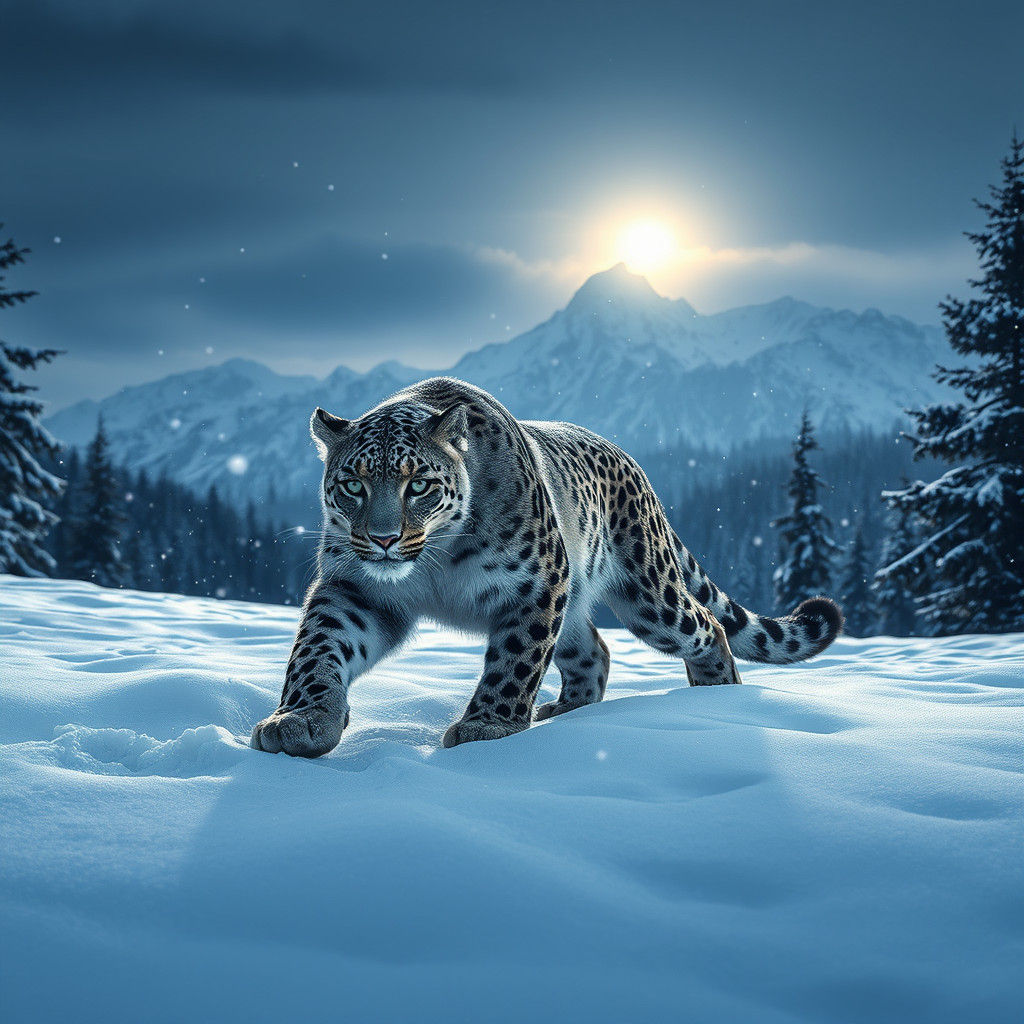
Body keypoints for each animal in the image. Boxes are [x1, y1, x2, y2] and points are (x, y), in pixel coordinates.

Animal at [251, 377, 843, 756]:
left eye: (417, 484)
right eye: (353, 484)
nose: (382, 539)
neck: (435, 562)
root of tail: (632, 461)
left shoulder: (533, 586)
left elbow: (514, 660)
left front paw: (487, 727)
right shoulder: (353, 588)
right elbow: (317, 649)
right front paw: (300, 721)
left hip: (648, 595)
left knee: (705, 623)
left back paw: (714, 700)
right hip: (578, 605)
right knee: (593, 651)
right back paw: (565, 713)